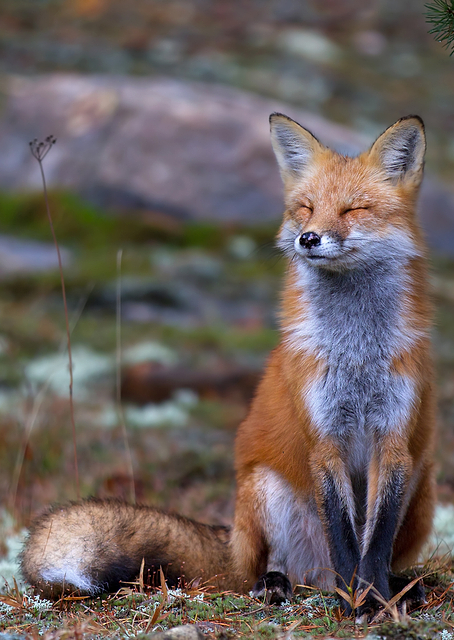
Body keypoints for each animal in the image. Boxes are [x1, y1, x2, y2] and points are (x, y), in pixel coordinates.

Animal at [21, 113, 436, 618]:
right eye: (306, 208)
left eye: (354, 209)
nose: (308, 238)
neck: (355, 353)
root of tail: (233, 541)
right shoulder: (324, 439)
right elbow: (344, 537)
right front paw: (355, 600)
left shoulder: (393, 440)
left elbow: (372, 543)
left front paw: (375, 598)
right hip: (264, 490)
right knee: (275, 569)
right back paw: (280, 585)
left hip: (421, 481)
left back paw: (402, 585)